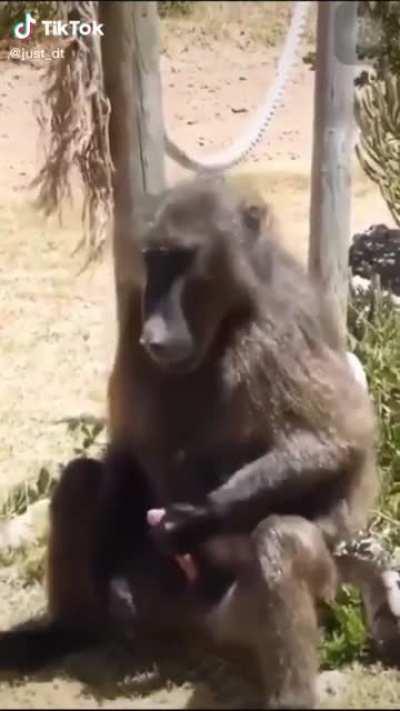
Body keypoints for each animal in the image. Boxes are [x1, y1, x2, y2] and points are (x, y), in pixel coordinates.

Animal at [0, 175, 378, 709]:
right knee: (81, 479)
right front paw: (114, 572)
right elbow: (127, 450)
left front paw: (193, 519)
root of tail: (194, 628)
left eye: (181, 258)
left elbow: (336, 442)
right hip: (162, 604)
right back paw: (65, 632)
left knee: (281, 539)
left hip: (256, 612)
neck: (229, 315)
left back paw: (290, 693)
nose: (156, 329)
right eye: (154, 259)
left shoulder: (280, 324)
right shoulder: (131, 317)